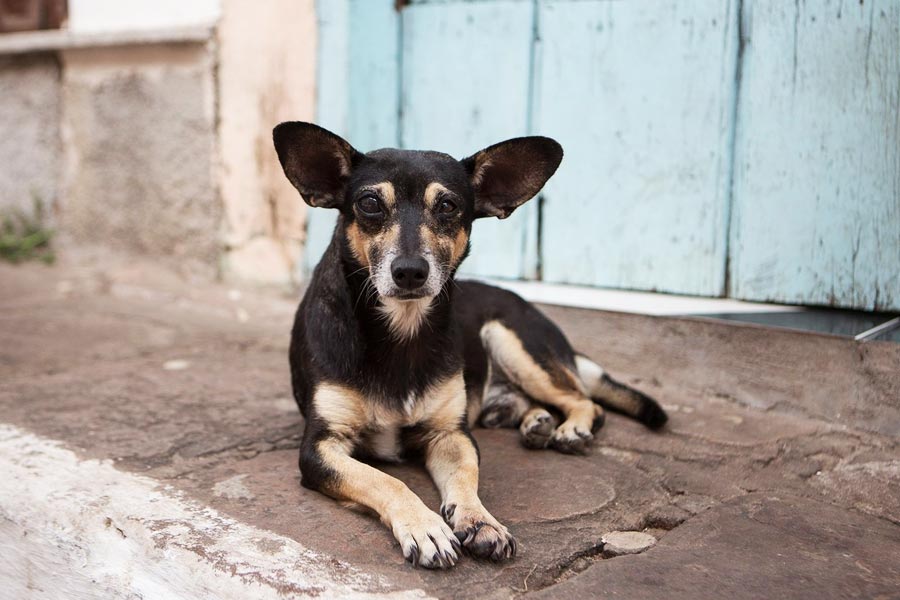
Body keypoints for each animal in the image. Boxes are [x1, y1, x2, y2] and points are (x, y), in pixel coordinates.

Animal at [274, 120, 668, 568]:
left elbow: (466, 477)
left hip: (512, 340)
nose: (409, 271)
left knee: (585, 400)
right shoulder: (321, 447)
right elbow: (385, 480)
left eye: (447, 206)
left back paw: (571, 428)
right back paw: (537, 423)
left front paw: (480, 521)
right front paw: (425, 526)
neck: (402, 331)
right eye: (370, 203)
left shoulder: (451, 435)